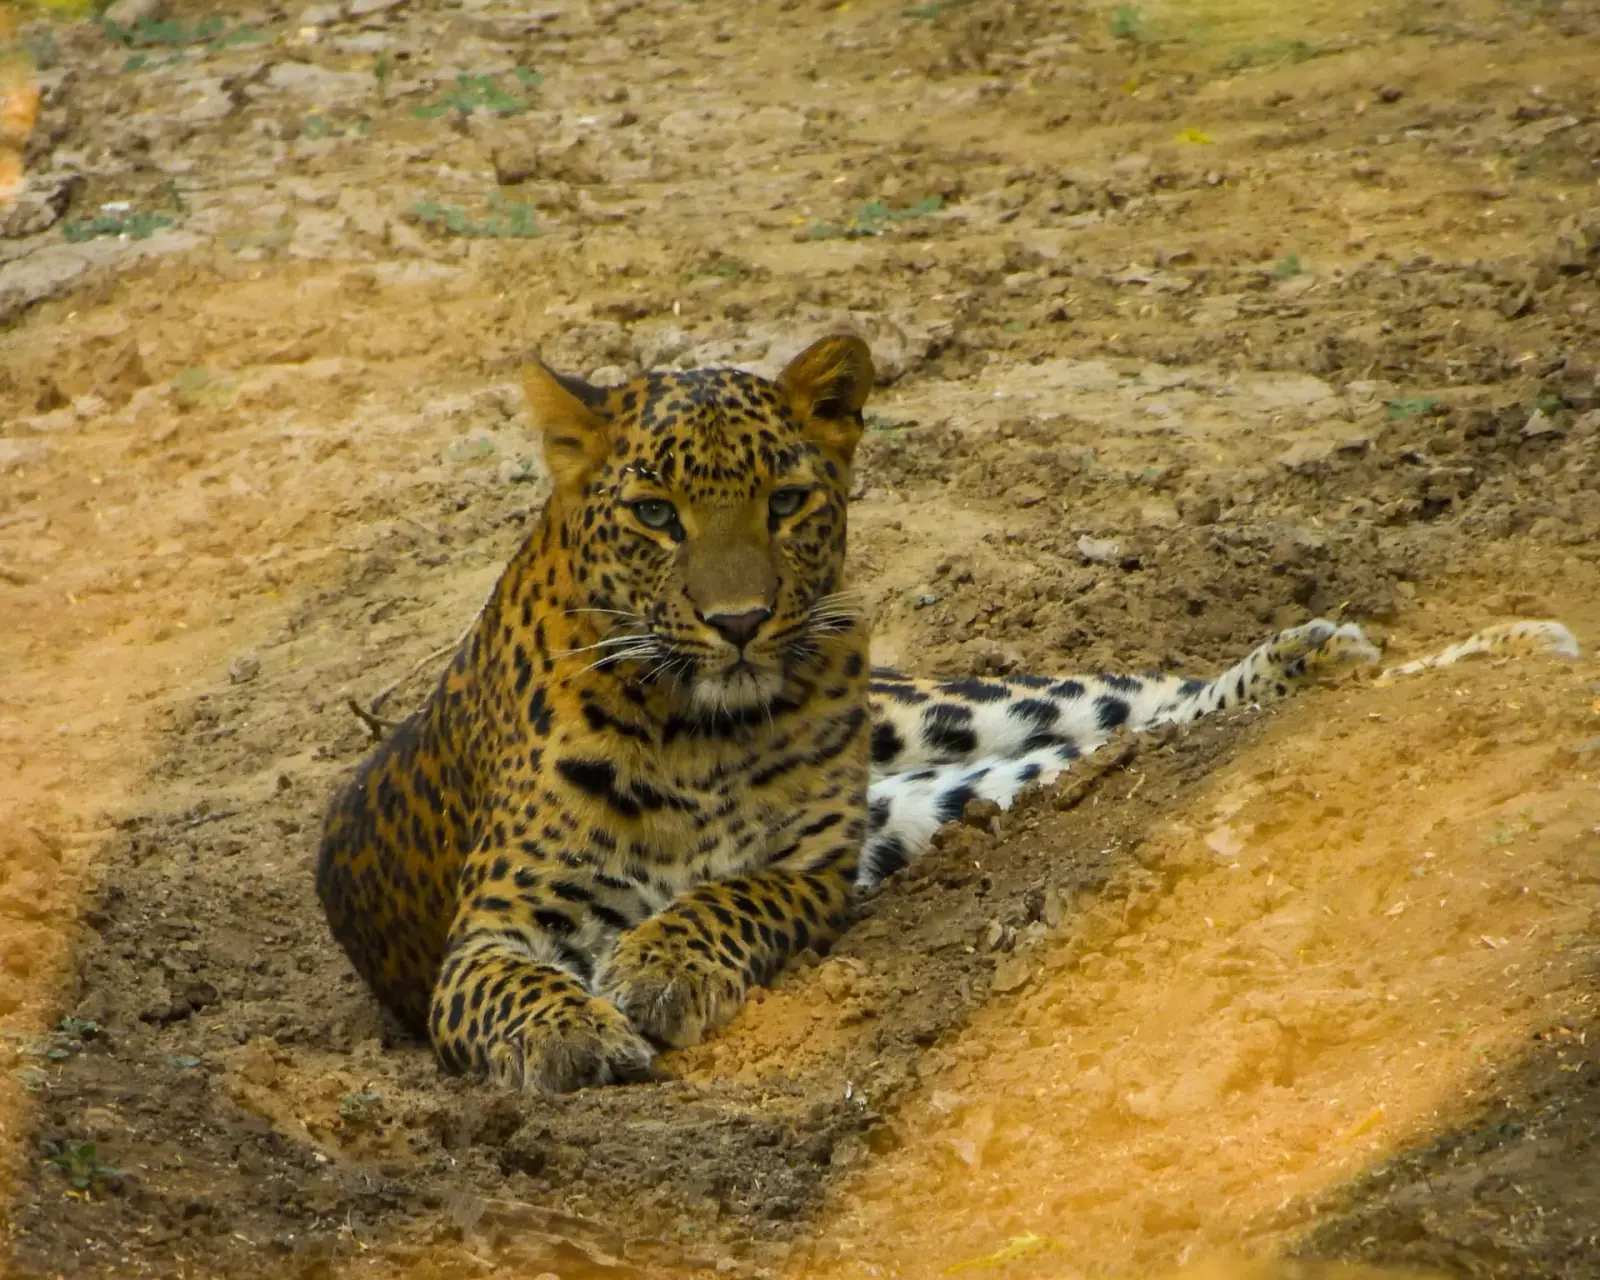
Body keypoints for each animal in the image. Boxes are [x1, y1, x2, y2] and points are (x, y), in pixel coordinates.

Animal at [315, 332, 1581, 1093]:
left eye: (786, 501)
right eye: (655, 513)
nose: (739, 620)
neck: (698, 728)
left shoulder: (805, 869)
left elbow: (722, 896)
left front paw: (657, 969)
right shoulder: (493, 927)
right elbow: (511, 983)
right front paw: (575, 1033)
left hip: (955, 722)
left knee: (1148, 701)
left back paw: (1474, 649)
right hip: (962, 787)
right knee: (1139, 738)